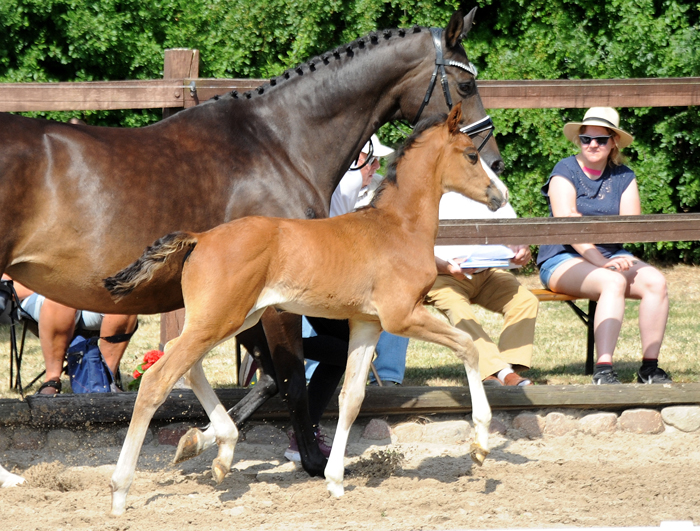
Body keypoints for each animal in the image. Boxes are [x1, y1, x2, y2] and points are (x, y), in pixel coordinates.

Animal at [105, 101, 504, 516]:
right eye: (472, 155)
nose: (500, 195)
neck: (398, 227)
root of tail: (200, 238)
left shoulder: (368, 324)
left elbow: (352, 398)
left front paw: (335, 480)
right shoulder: (403, 315)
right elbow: (468, 345)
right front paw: (480, 445)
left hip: (232, 319)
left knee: (183, 362)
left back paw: (218, 450)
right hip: (219, 320)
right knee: (157, 379)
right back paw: (121, 489)